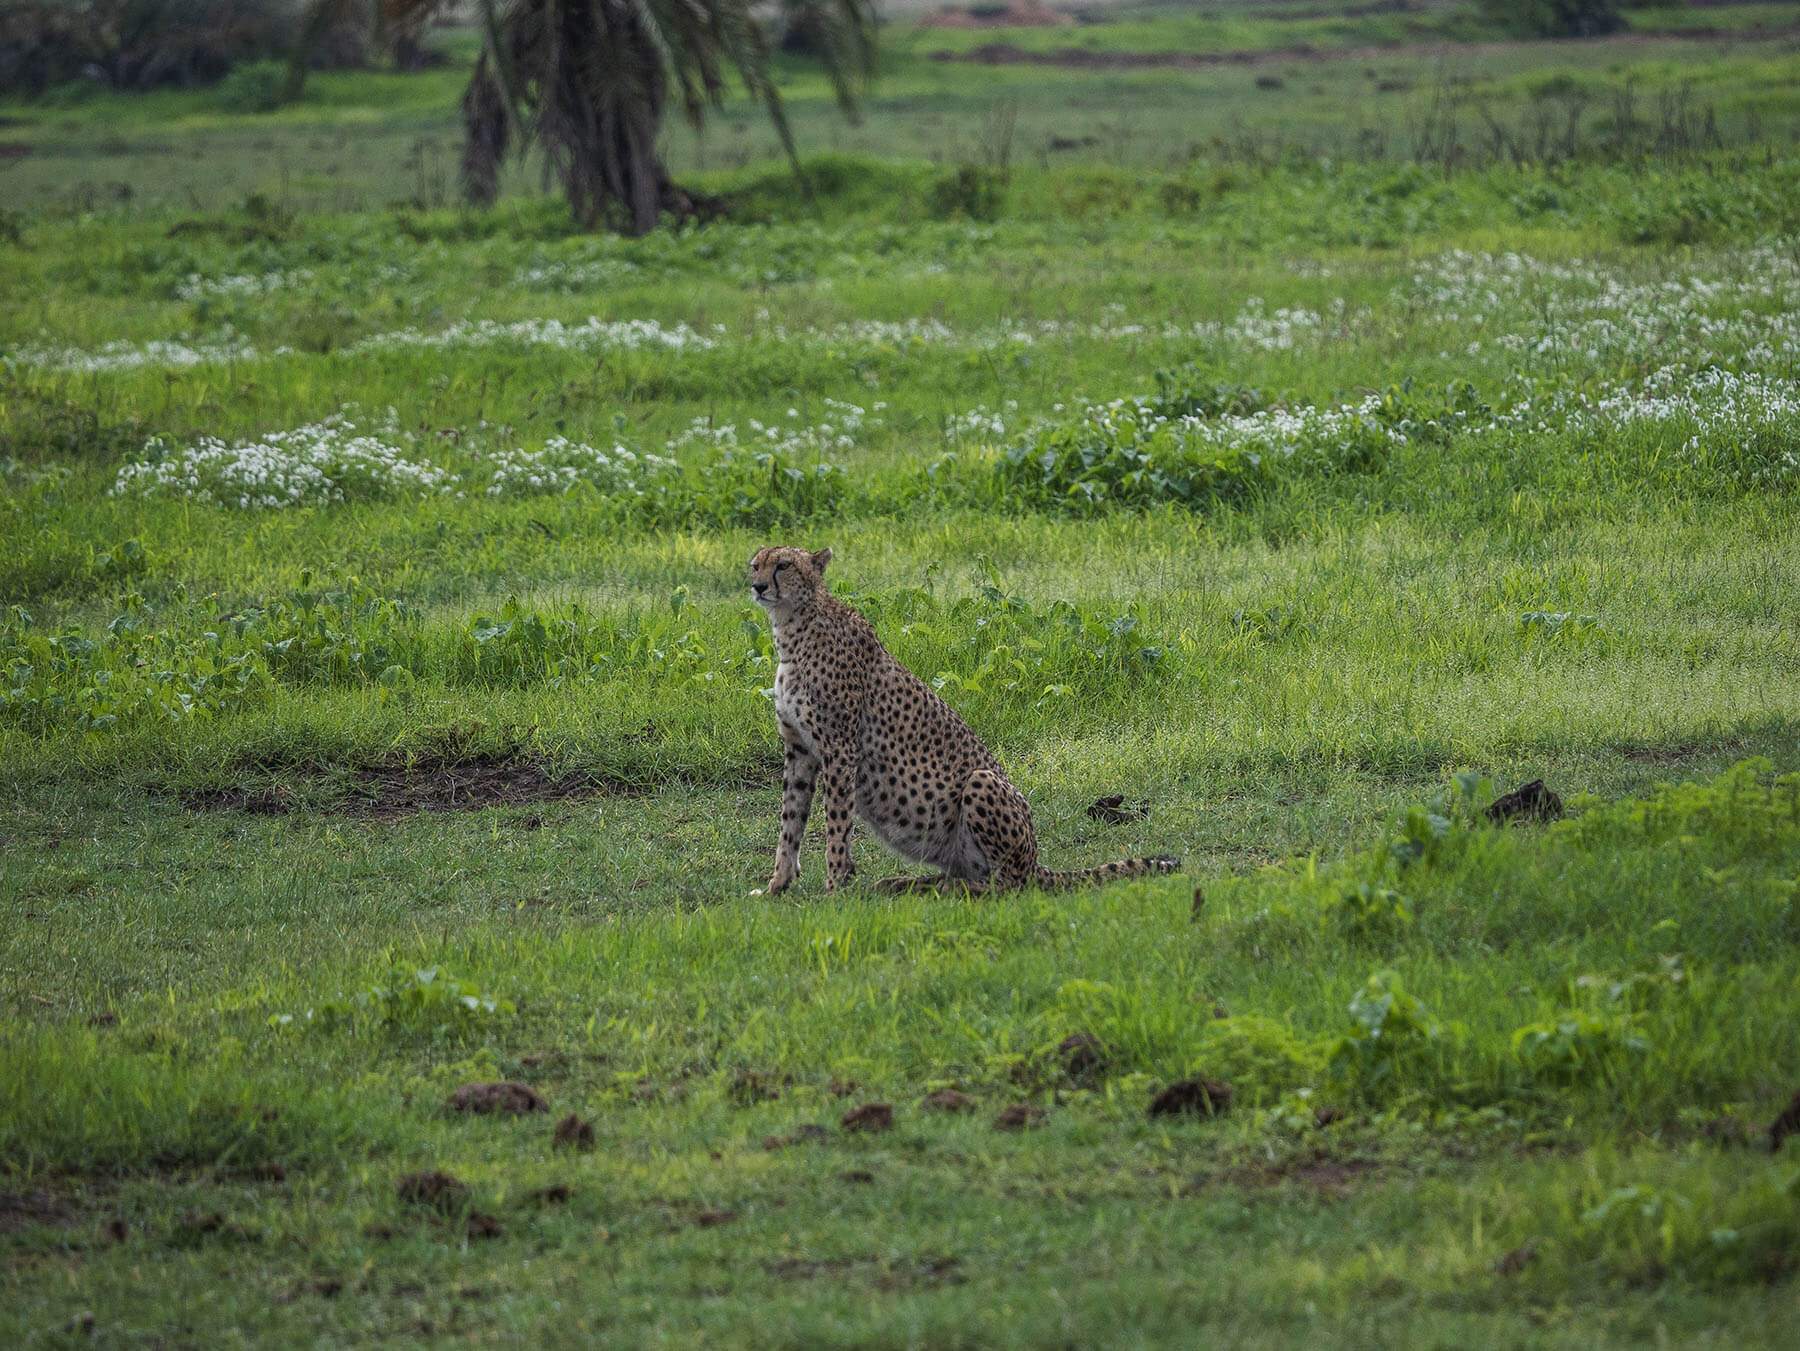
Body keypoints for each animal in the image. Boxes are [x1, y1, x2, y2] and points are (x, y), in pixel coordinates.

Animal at [748, 544, 1179, 895]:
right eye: (755, 564)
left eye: (784, 564)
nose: (756, 586)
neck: (793, 629)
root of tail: (1036, 862)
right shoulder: (800, 750)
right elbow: (790, 821)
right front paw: (777, 886)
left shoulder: (839, 749)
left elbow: (836, 824)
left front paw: (835, 886)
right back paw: (909, 884)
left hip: (981, 781)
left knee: (1006, 886)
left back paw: (946, 889)